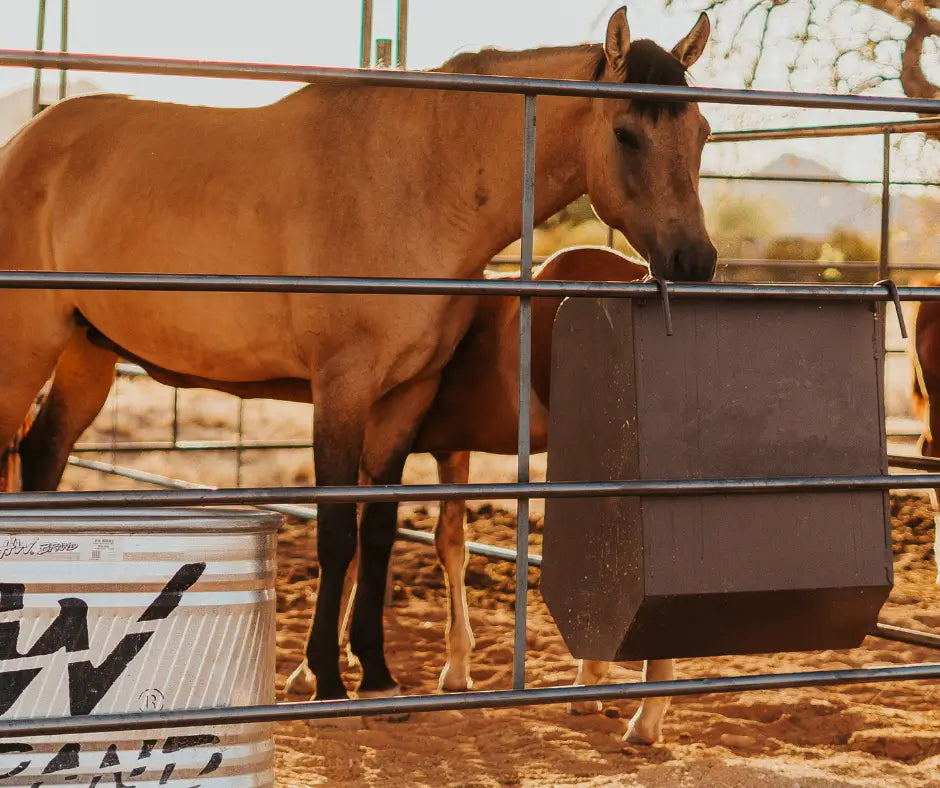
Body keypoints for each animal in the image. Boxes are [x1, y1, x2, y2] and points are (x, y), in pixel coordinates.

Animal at [3, 9, 716, 700]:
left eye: (704, 131)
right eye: (626, 134)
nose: (697, 261)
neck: (422, 181)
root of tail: (26, 142)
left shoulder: (407, 395)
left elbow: (378, 532)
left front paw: (374, 670)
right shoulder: (342, 389)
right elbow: (336, 531)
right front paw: (324, 674)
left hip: (87, 352)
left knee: (42, 456)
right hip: (26, 347)